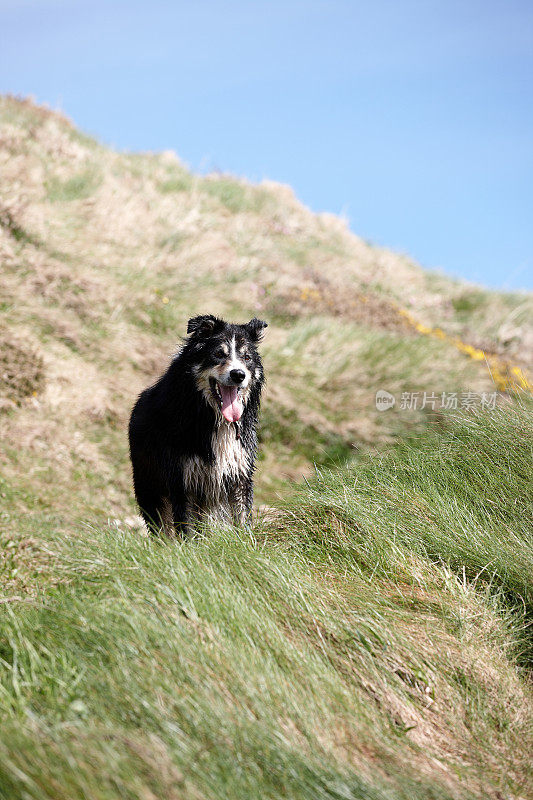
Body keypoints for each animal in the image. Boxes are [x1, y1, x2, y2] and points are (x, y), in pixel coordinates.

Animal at [127, 314, 268, 536]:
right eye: (218, 353)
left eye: (247, 358)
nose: (238, 375)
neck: (211, 417)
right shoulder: (182, 479)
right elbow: (186, 528)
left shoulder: (239, 473)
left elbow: (243, 519)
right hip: (149, 484)